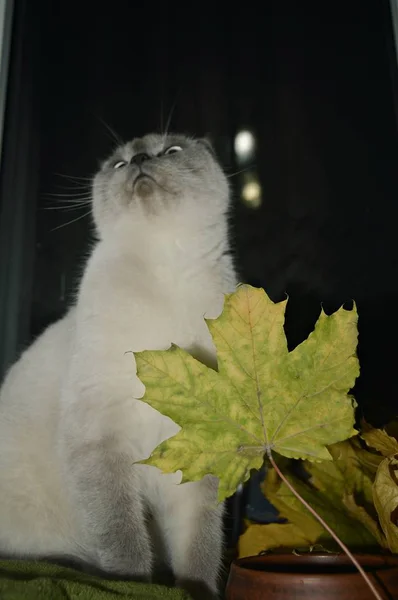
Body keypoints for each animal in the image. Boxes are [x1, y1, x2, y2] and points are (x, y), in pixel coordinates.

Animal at [0, 134, 236, 596]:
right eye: (121, 163)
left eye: (172, 152)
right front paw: (135, 585)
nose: (142, 159)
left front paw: (195, 591)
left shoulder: (199, 449)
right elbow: (122, 538)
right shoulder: (101, 439)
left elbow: (199, 552)